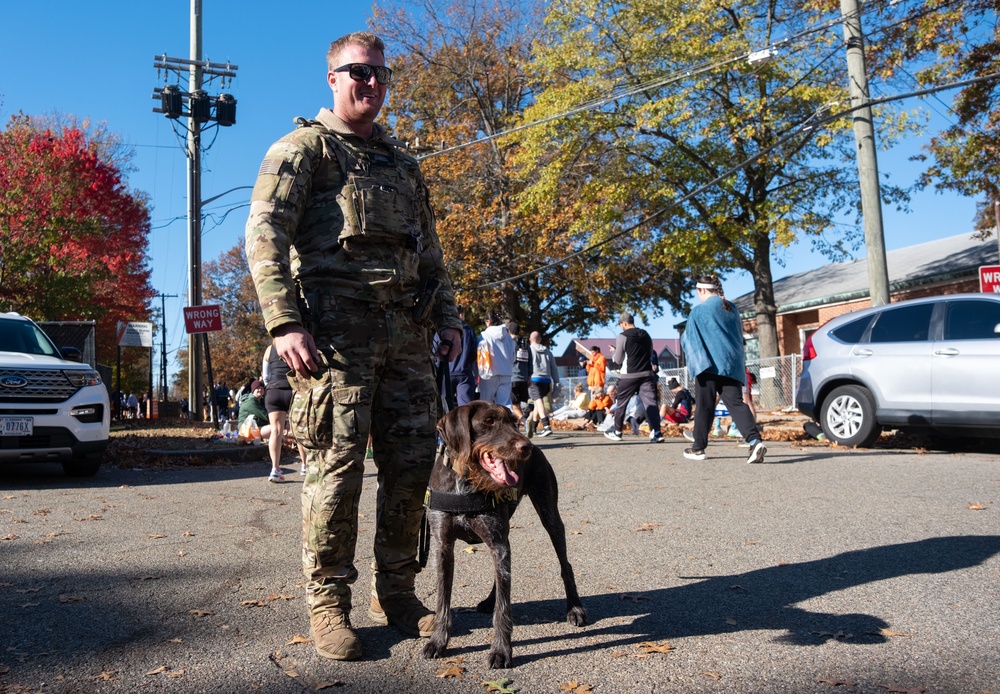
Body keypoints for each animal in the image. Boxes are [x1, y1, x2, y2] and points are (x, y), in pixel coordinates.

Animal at [420, 402, 584, 668]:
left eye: (514, 422)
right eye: (488, 421)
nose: (526, 447)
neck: (467, 478)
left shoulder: (498, 543)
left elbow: (503, 608)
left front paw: (501, 650)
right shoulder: (443, 547)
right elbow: (443, 600)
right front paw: (438, 642)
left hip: (550, 516)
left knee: (565, 565)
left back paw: (575, 608)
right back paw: (489, 601)